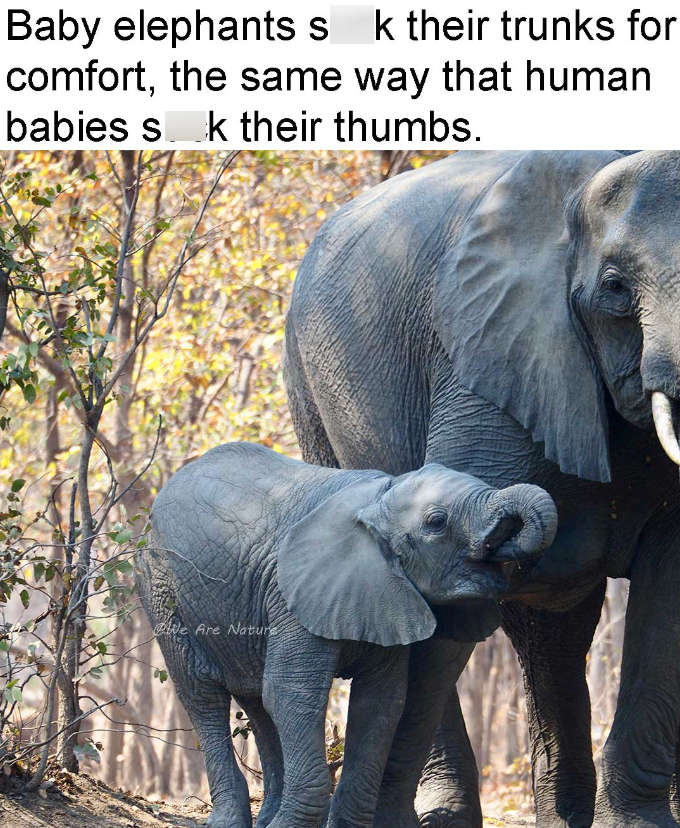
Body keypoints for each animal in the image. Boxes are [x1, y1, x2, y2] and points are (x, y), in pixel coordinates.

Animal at [137, 441, 557, 828]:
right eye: (437, 522)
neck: (380, 498)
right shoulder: (291, 596)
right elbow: (293, 693)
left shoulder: (387, 598)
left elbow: (381, 703)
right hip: (160, 587)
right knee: (201, 694)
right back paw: (230, 821)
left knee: (256, 701)